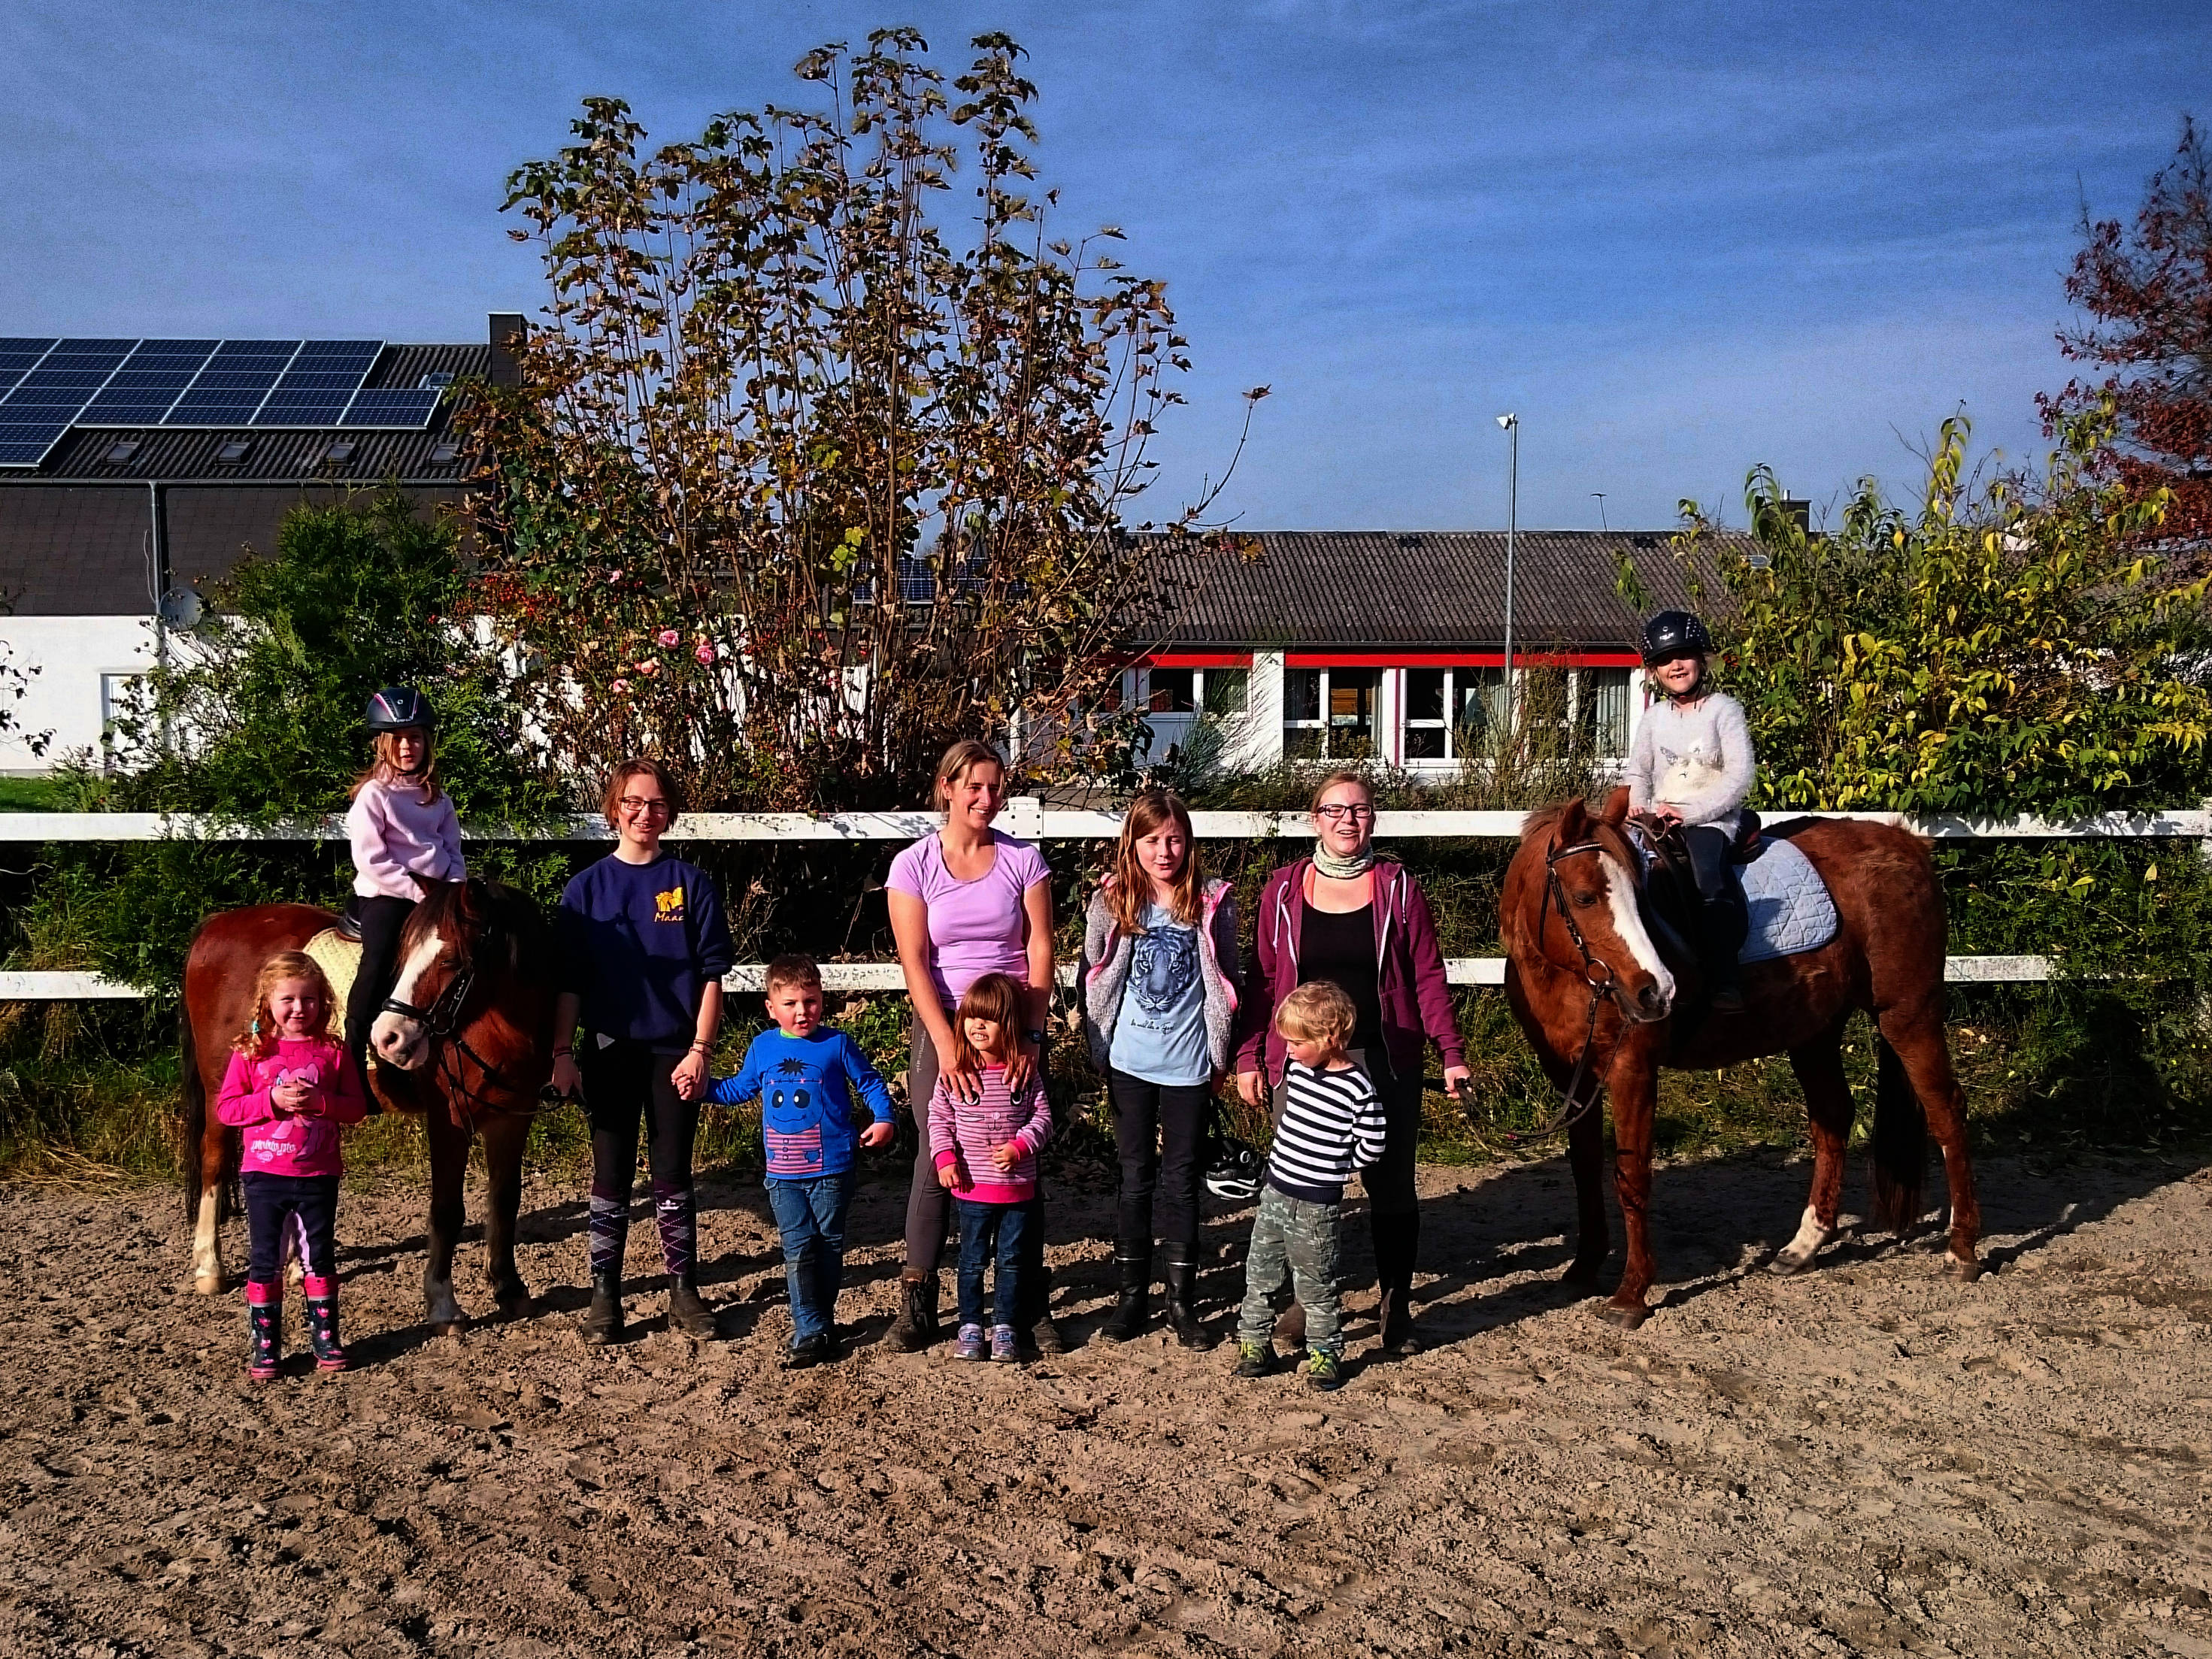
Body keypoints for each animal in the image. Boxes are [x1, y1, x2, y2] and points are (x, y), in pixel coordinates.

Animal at [183, 885, 562, 1336]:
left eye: (451, 960)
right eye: (404, 954)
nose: (387, 1038)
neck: (494, 1022)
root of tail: (217, 924)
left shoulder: (513, 1117)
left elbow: (505, 1199)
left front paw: (508, 1287)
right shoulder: (449, 1120)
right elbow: (447, 1210)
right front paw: (442, 1305)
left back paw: (292, 1267)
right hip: (220, 1089)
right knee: (214, 1160)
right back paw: (209, 1268)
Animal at [1495, 801, 1982, 1336]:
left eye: (1639, 895)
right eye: (1583, 897)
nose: (1655, 991)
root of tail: (1907, 844)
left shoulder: (1631, 1068)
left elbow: (1632, 1174)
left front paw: (1630, 1294)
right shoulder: (1570, 1075)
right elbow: (1585, 1167)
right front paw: (1583, 1268)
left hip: (1908, 1016)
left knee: (1946, 1113)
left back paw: (1962, 1250)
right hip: (1814, 1032)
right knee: (1834, 1118)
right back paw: (1803, 1247)